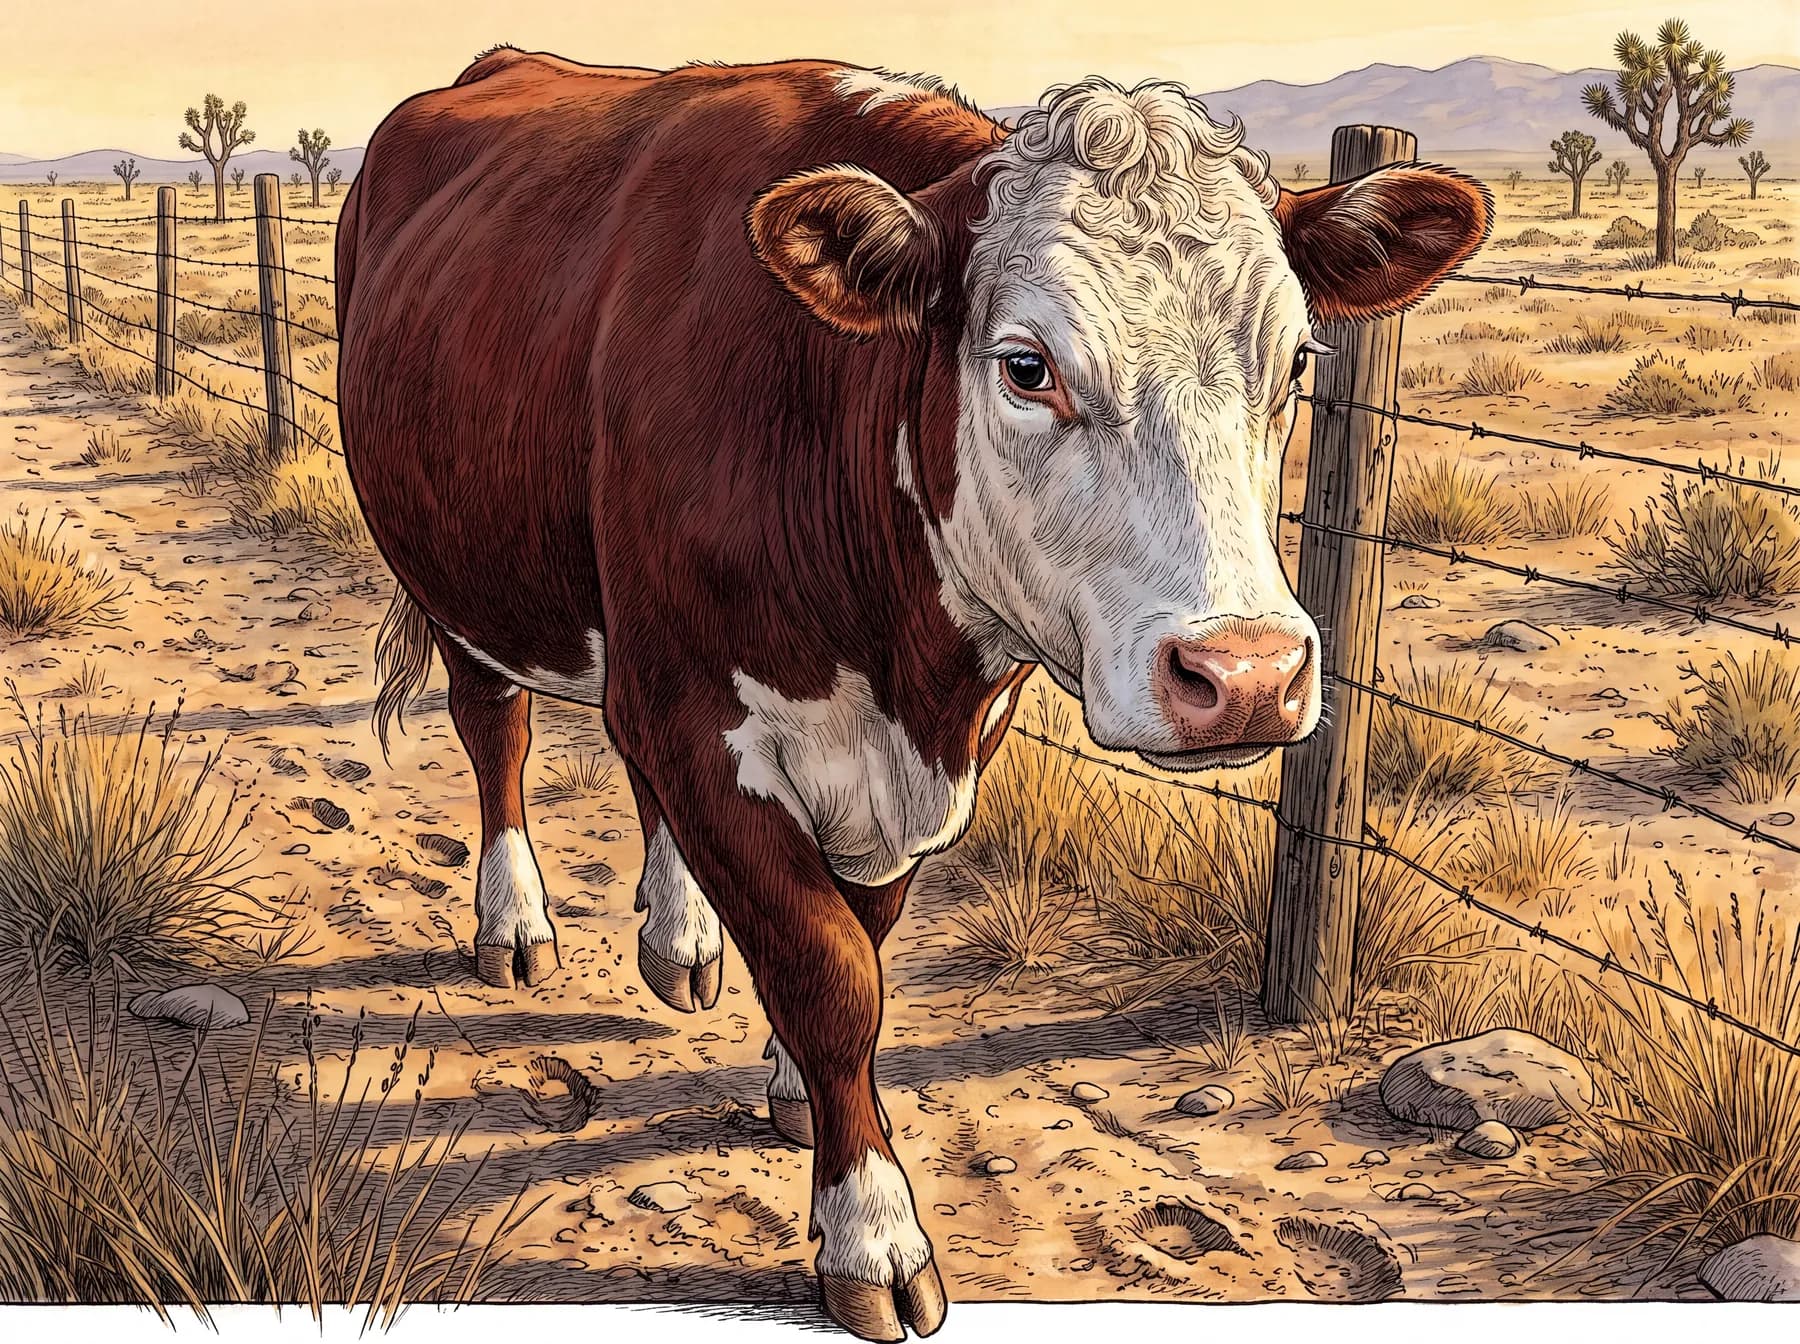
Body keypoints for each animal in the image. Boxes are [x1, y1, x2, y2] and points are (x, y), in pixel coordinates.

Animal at [336, 48, 1489, 1339]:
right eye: (1026, 367)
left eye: (1294, 364)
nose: (1244, 674)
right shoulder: (698, 716)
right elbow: (829, 975)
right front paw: (870, 1233)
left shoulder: (919, 756)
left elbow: (862, 947)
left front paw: (792, 1080)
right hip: (454, 569)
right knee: (495, 730)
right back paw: (516, 924)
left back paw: (681, 939)